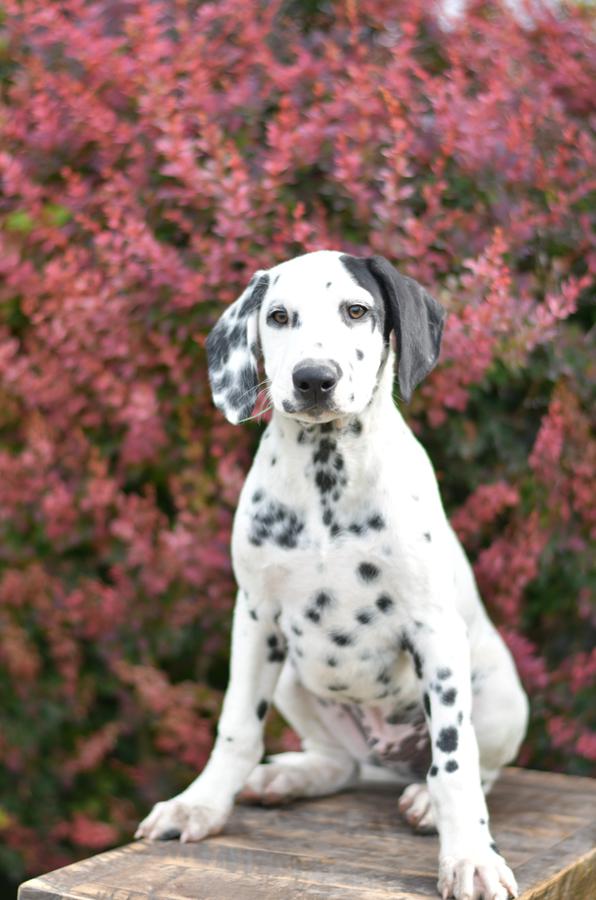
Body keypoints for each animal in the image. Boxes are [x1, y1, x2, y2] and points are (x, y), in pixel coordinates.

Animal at [137, 248, 528, 900]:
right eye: (278, 316)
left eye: (357, 310)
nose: (313, 378)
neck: (327, 480)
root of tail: (384, 758)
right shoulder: (255, 618)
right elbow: (237, 729)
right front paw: (201, 806)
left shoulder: (435, 632)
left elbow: (455, 761)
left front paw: (470, 856)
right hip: (295, 682)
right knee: (338, 762)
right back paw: (289, 777)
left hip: (501, 697)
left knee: (477, 766)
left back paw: (425, 800)